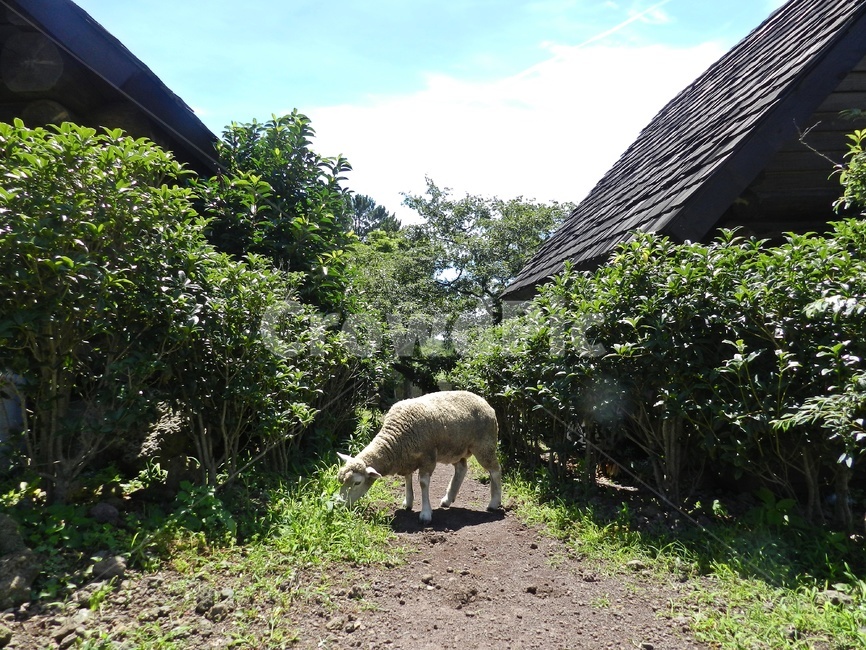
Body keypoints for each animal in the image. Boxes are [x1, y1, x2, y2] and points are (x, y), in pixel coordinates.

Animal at [337, 390, 502, 523]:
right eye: (340, 480)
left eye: (357, 483)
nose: (338, 503)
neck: (396, 438)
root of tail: (483, 401)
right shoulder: (407, 458)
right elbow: (407, 478)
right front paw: (408, 502)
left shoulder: (428, 458)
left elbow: (423, 483)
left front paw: (425, 514)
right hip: (455, 449)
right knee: (461, 469)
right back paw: (448, 499)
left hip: (484, 445)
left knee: (495, 470)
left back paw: (494, 503)